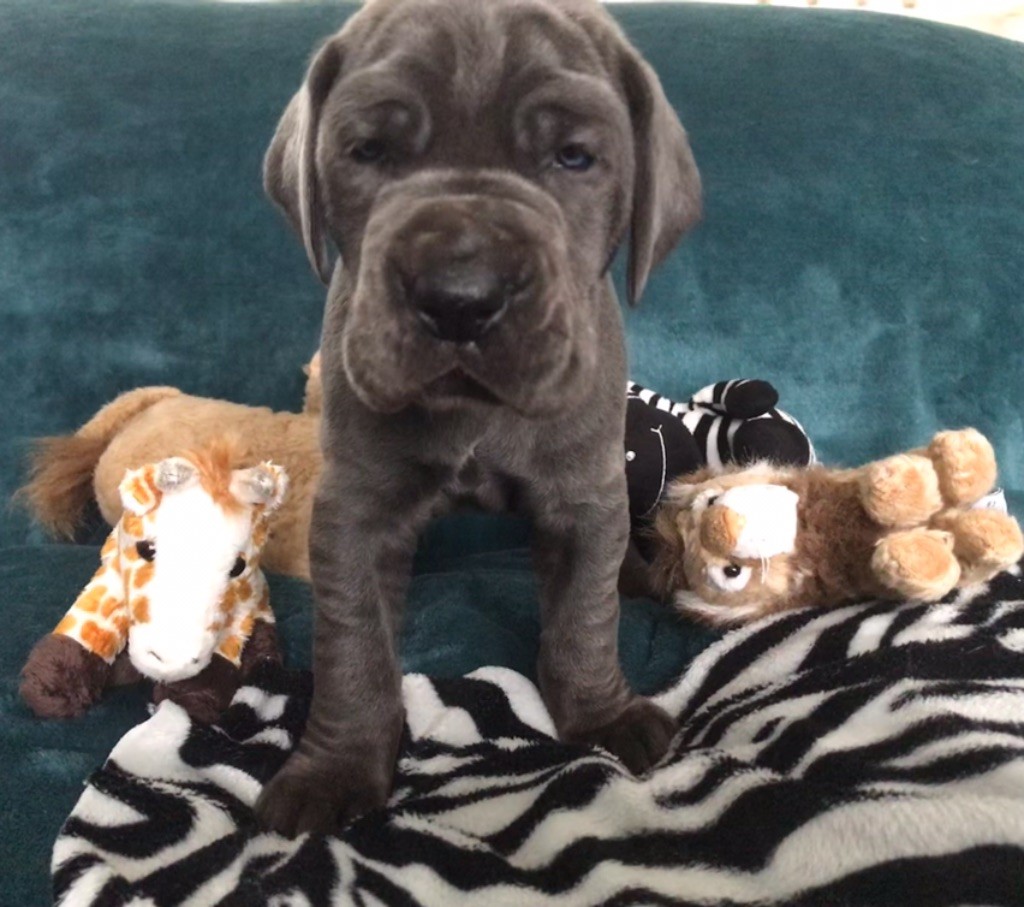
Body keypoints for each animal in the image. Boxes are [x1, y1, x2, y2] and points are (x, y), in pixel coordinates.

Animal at [255, 0, 701, 835]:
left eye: (574, 157)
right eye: (368, 150)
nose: (460, 297)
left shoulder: (584, 497)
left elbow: (585, 616)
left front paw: (601, 714)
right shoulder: (355, 507)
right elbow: (353, 642)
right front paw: (336, 767)